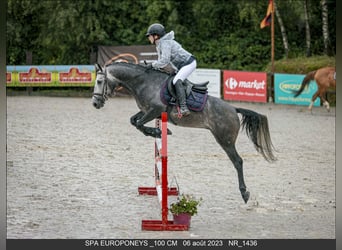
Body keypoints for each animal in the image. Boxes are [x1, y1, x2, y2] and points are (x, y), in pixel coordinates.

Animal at [91, 62, 278, 203]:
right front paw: (157, 132)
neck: (142, 82)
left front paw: (158, 131)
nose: (95, 104)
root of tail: (233, 109)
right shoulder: (148, 111)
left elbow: (138, 124)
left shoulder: (155, 110)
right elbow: (134, 121)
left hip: (225, 139)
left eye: (99, 82)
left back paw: (244, 193)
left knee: (238, 161)